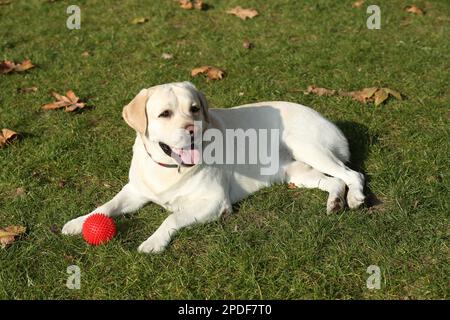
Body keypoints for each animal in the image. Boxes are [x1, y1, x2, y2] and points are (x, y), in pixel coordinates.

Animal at [62, 82, 366, 252]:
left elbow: (172, 218)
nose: (192, 129)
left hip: (308, 148)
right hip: (296, 172)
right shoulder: (135, 191)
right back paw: (335, 202)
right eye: (165, 114)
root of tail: (329, 121)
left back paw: (355, 197)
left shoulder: (215, 202)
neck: (169, 169)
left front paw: (153, 242)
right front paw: (79, 222)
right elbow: (105, 206)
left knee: (353, 174)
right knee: (335, 180)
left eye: (195, 108)